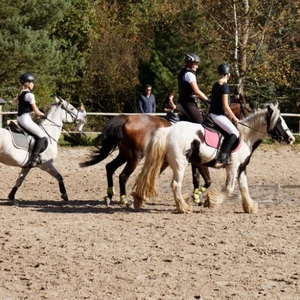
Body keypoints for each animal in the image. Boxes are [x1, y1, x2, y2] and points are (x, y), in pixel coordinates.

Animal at [132, 102, 296, 213]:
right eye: (279, 121)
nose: (291, 139)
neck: (245, 138)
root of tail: (168, 130)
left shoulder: (242, 168)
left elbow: (244, 188)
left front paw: (250, 207)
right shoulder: (232, 168)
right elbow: (229, 189)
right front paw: (211, 202)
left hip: (164, 162)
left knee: (149, 177)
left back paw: (139, 198)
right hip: (180, 164)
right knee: (175, 185)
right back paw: (183, 207)